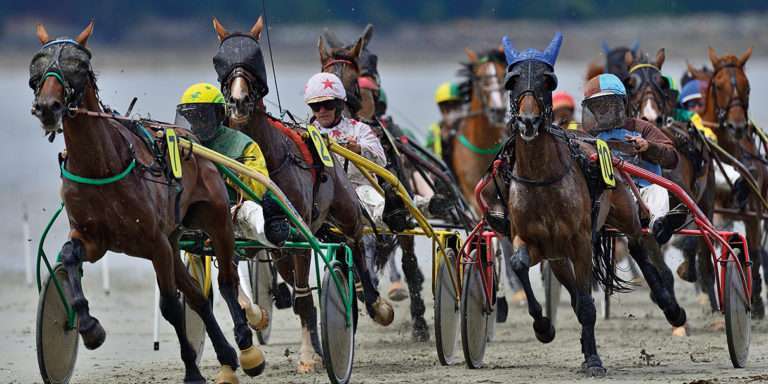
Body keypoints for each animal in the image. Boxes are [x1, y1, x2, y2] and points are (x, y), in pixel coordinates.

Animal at [30, 21, 262, 384]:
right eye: (38, 66)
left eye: (77, 65)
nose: (47, 106)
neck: (101, 163)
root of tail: (195, 143)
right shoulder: (94, 238)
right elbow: (69, 256)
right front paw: (89, 328)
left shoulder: (154, 243)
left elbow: (170, 307)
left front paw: (192, 370)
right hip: (174, 238)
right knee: (198, 298)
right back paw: (226, 354)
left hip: (216, 220)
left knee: (226, 281)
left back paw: (247, 349)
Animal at [210, 17, 392, 372]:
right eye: (221, 60)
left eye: (254, 58)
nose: (238, 102)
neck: (265, 157)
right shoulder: (246, 233)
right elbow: (237, 285)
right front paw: (257, 316)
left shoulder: (299, 234)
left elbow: (305, 298)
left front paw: (309, 357)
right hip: (283, 250)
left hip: (346, 211)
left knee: (355, 244)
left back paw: (374, 303)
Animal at [500, 33, 688, 376]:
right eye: (512, 81)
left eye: (548, 80)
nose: (529, 121)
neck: (542, 177)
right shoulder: (531, 239)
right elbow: (521, 265)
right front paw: (543, 326)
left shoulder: (580, 241)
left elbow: (587, 304)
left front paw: (593, 359)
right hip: (557, 254)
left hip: (625, 210)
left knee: (640, 241)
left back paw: (670, 306)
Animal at [624, 49, 720, 316]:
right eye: (630, 83)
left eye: (662, 82)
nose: (650, 116)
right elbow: (655, 261)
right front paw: (667, 303)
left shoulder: (684, 195)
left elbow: (680, 221)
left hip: (707, 196)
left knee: (704, 250)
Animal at [688, 45, 768, 318]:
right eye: (718, 85)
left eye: (747, 86)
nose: (737, 126)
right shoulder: (712, 207)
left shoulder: (753, 207)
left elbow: (754, 250)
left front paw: (756, 302)